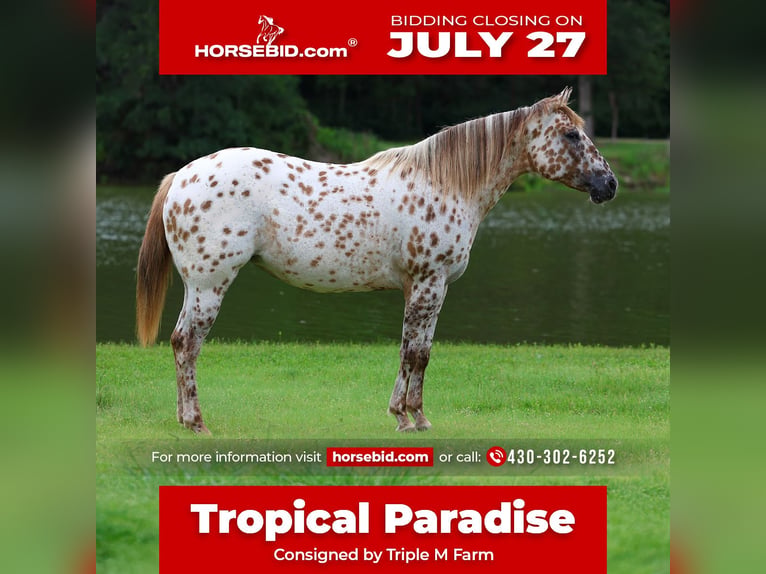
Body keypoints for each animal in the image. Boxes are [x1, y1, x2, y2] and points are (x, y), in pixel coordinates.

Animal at [136, 88, 617, 434]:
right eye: (571, 134)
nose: (609, 184)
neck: (445, 183)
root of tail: (182, 176)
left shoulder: (426, 288)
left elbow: (413, 350)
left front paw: (405, 415)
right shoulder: (428, 283)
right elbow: (417, 353)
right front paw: (413, 418)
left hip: (198, 286)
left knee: (179, 343)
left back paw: (184, 420)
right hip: (210, 285)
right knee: (188, 344)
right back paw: (197, 423)